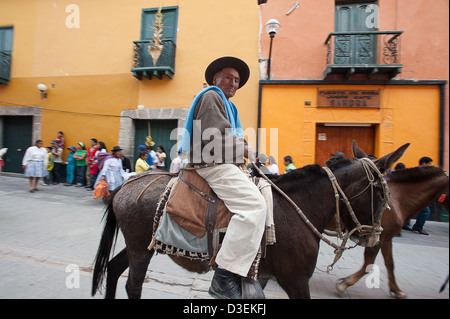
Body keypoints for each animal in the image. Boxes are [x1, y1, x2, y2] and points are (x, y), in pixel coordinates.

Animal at [91, 143, 408, 300]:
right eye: (382, 192)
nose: (374, 236)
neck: (297, 208)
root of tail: (127, 184)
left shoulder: (262, 276)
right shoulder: (295, 280)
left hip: (138, 246)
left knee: (114, 269)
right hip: (140, 249)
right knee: (133, 286)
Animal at [332, 160, 448, 300]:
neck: (399, 198)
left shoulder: (386, 237)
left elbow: (390, 263)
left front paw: (396, 290)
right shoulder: (377, 237)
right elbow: (368, 263)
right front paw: (344, 284)